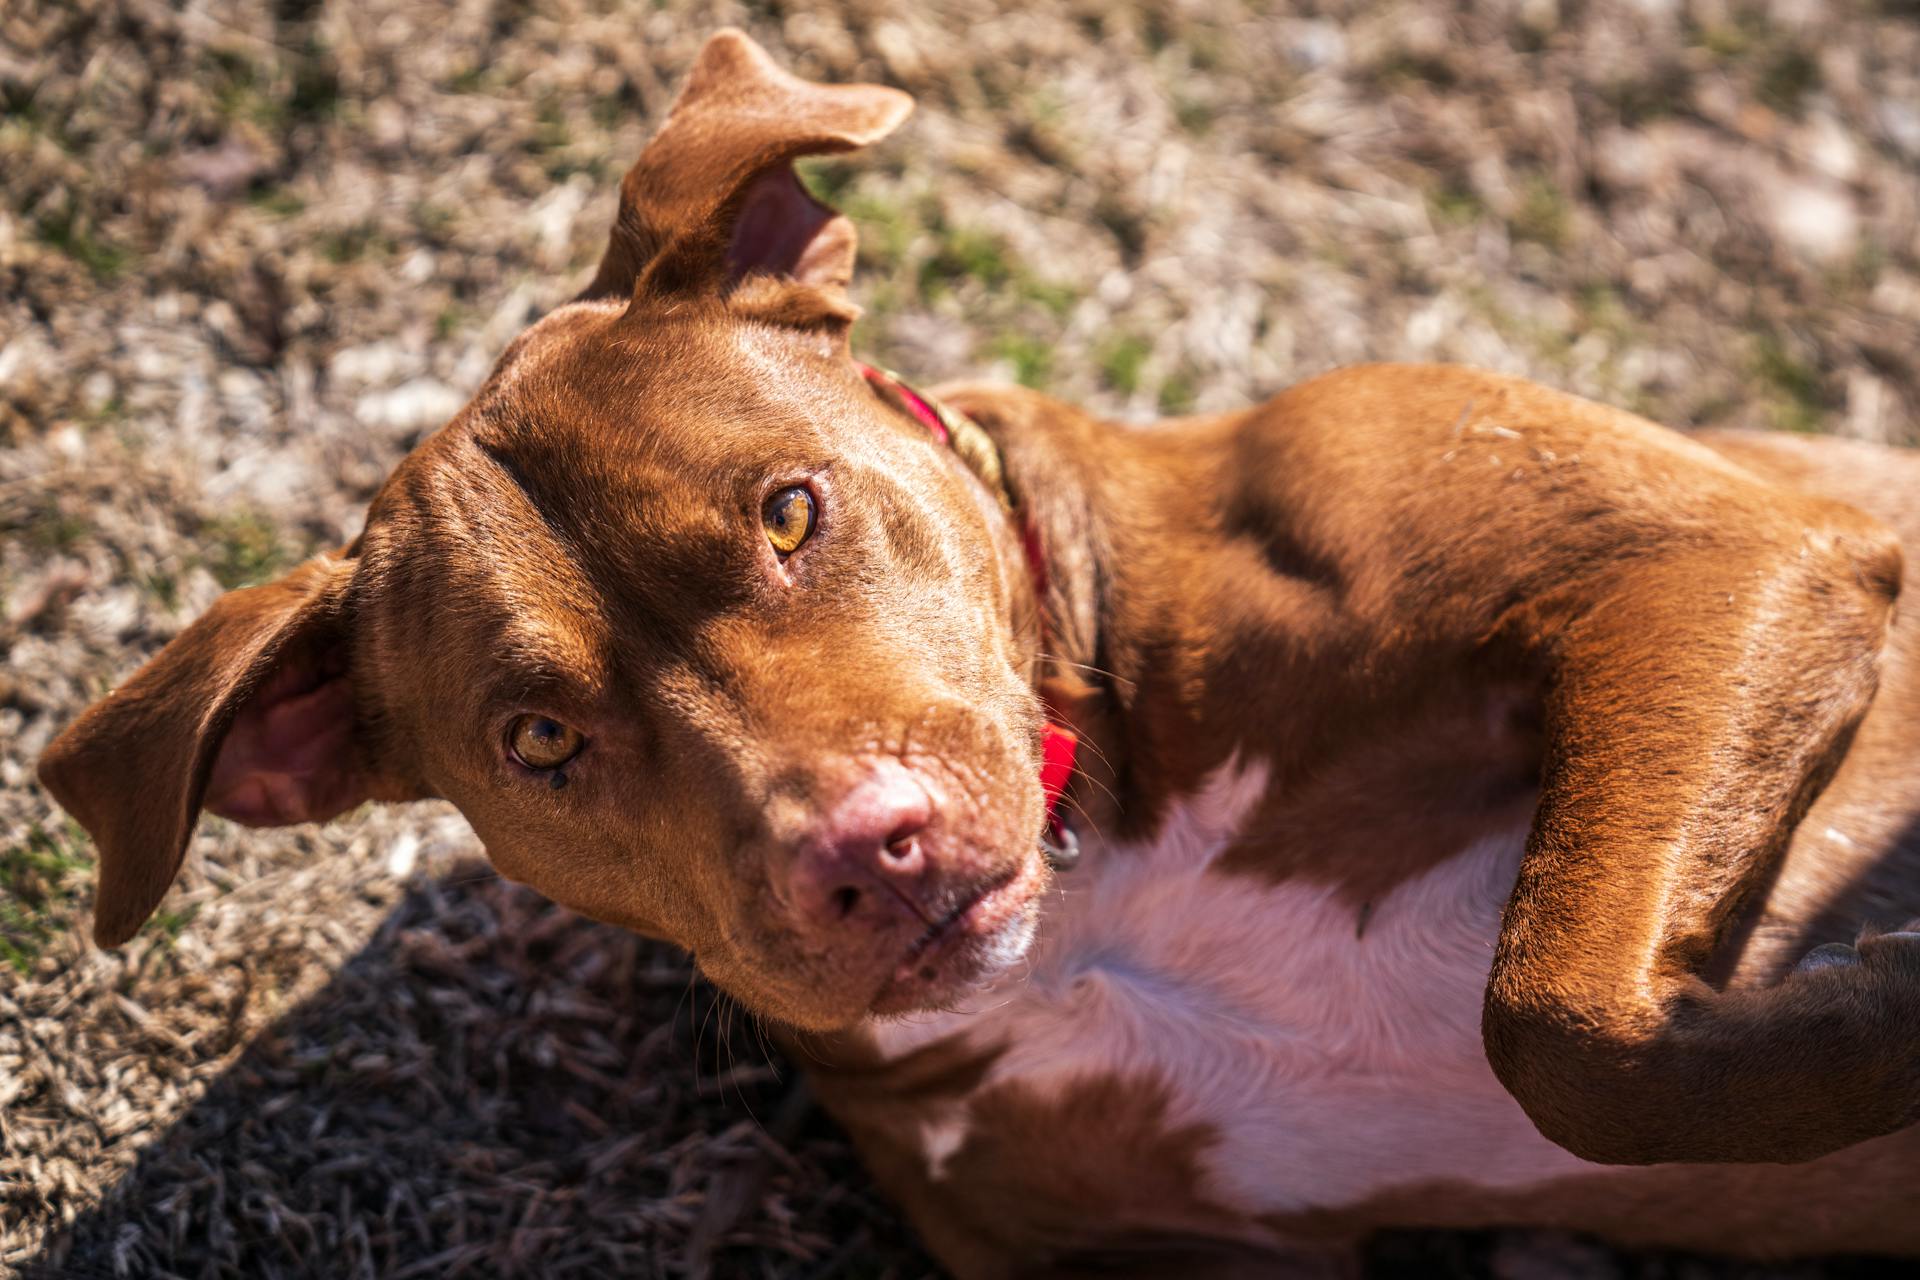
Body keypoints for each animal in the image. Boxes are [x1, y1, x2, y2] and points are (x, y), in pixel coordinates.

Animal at [33, 29, 1920, 1280]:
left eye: (792, 513)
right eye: (539, 742)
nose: (869, 854)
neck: (1101, 891)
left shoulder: (1705, 556)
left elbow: (1557, 1014)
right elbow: (1567, 1032)